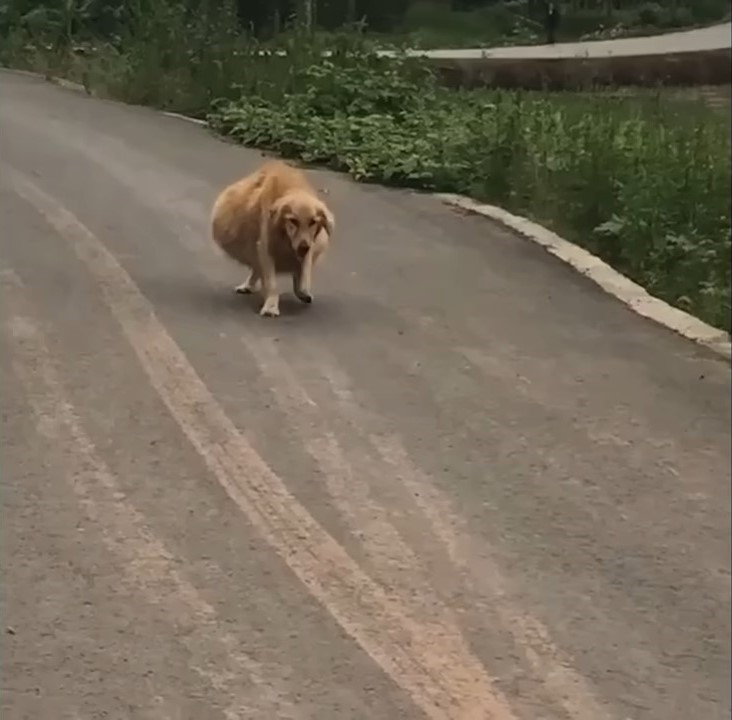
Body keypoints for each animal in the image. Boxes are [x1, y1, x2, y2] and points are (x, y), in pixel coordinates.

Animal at [210, 160, 336, 318]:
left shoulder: (310, 245)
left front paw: (302, 290)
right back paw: (248, 285)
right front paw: (271, 306)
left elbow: (303, 273)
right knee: (256, 264)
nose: (303, 247)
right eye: (293, 221)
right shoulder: (265, 246)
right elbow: (271, 281)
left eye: (313, 222)